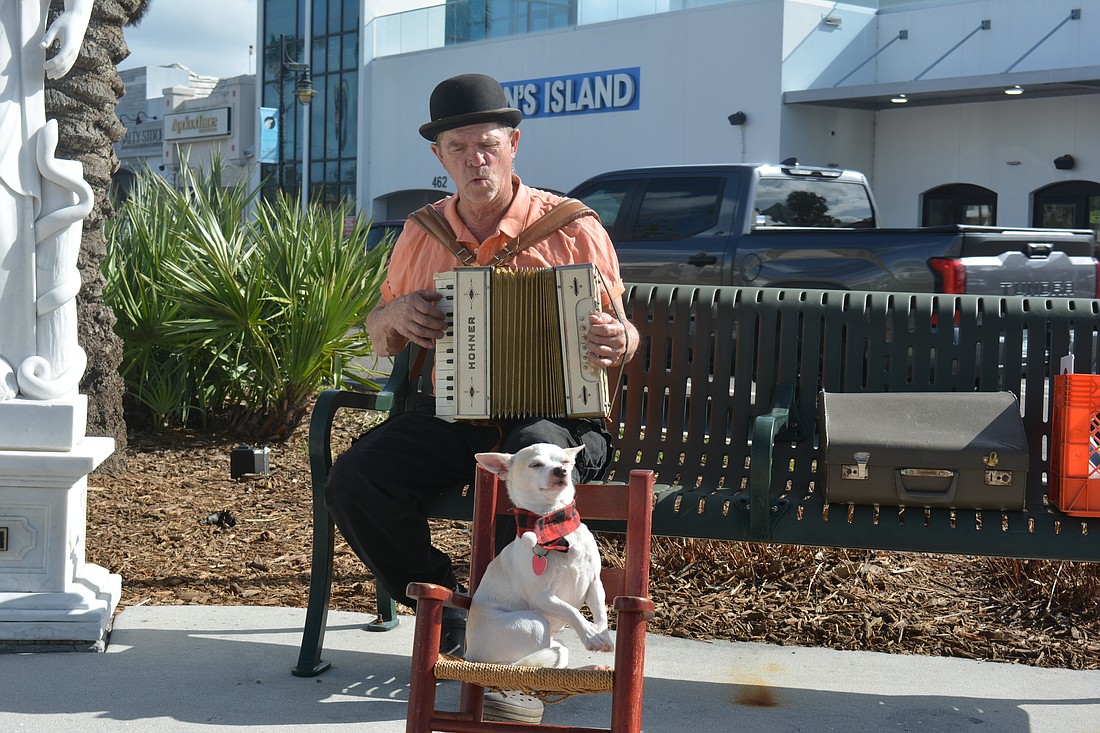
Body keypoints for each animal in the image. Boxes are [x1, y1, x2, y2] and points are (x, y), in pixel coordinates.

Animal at [464, 442, 616, 664]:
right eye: (535, 465)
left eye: (565, 462)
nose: (560, 470)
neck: (556, 527)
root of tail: (470, 655)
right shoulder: (541, 596)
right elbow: (569, 609)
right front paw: (589, 634)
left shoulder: (594, 584)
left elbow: (601, 612)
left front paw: (602, 634)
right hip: (535, 622)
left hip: (557, 645)